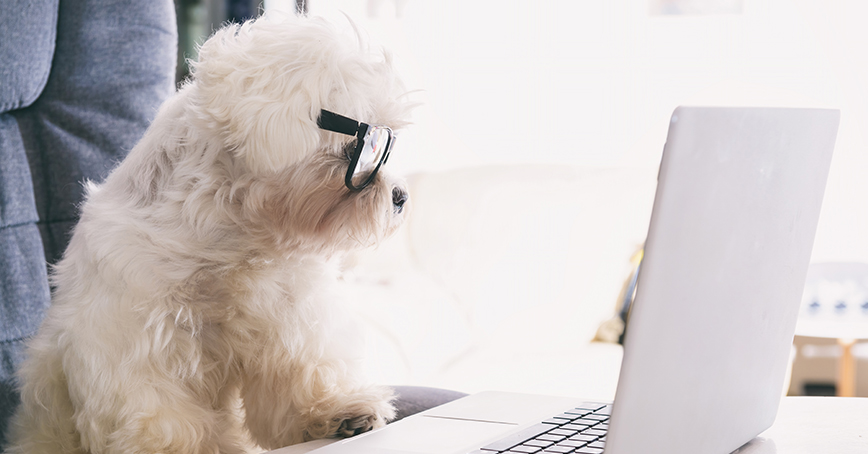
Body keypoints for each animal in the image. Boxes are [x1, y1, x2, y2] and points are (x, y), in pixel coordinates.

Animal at [5, 12, 414, 452]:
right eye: (364, 148)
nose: (402, 196)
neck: (231, 239)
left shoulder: (290, 317)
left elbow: (302, 373)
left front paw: (334, 410)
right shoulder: (133, 341)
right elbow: (158, 416)